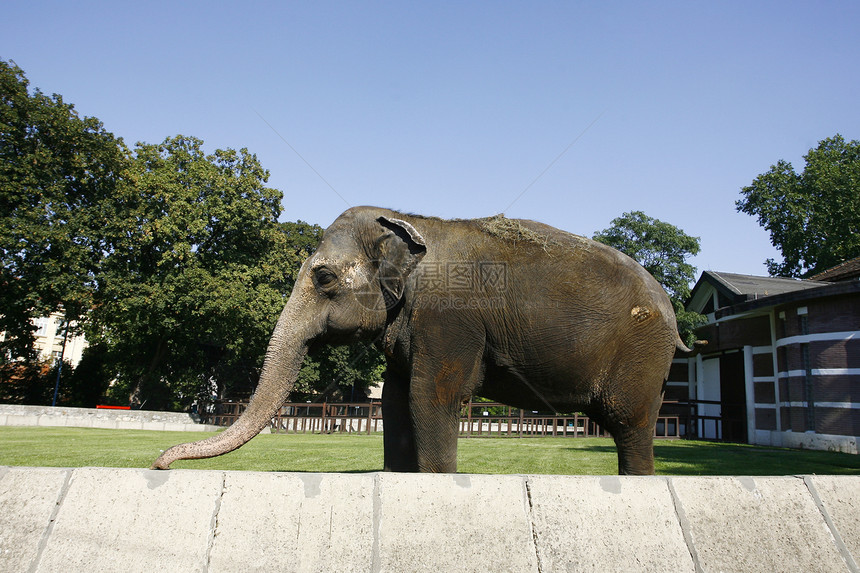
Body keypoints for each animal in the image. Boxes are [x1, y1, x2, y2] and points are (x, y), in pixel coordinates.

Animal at [153, 206, 692, 474]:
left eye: (323, 276)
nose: (159, 463)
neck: (406, 218)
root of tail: (670, 309)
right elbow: (395, 399)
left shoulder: (448, 320)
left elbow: (430, 396)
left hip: (642, 355)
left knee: (629, 422)